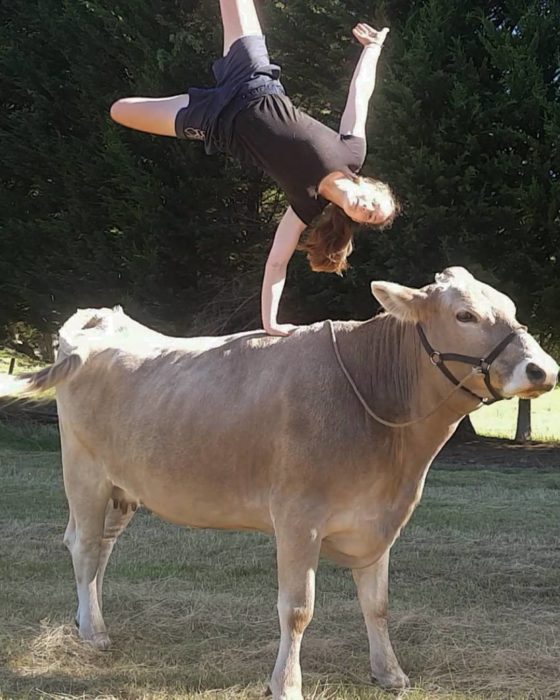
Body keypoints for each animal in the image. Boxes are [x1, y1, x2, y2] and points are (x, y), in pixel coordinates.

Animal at [2, 266, 556, 696]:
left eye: (509, 307)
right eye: (465, 315)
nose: (543, 369)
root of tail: (102, 318)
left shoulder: (378, 520)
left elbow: (377, 605)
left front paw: (390, 673)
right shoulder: (297, 517)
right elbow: (297, 609)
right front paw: (286, 683)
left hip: (124, 487)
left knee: (100, 548)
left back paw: (87, 621)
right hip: (85, 473)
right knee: (82, 545)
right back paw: (94, 633)